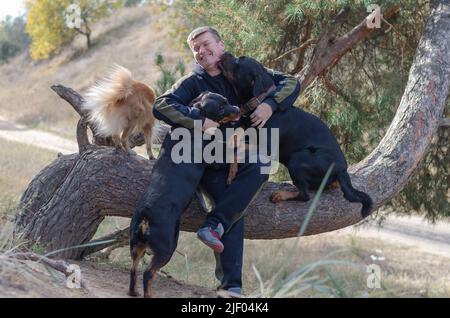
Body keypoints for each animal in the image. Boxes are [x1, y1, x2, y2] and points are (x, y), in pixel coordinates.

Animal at [127, 91, 239, 298]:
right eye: (221, 107)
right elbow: (231, 151)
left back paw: (134, 292)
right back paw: (150, 294)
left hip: (136, 245)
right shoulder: (214, 160)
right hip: (167, 248)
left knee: (134, 268)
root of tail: (146, 217)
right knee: (148, 273)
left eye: (227, 101)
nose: (236, 109)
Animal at [219, 52, 372, 217]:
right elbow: (238, 133)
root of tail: (342, 170)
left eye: (239, 61)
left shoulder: (266, 148)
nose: (224, 53)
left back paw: (280, 195)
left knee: (305, 195)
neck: (259, 101)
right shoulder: (247, 125)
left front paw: (231, 171)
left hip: (297, 159)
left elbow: (238, 150)